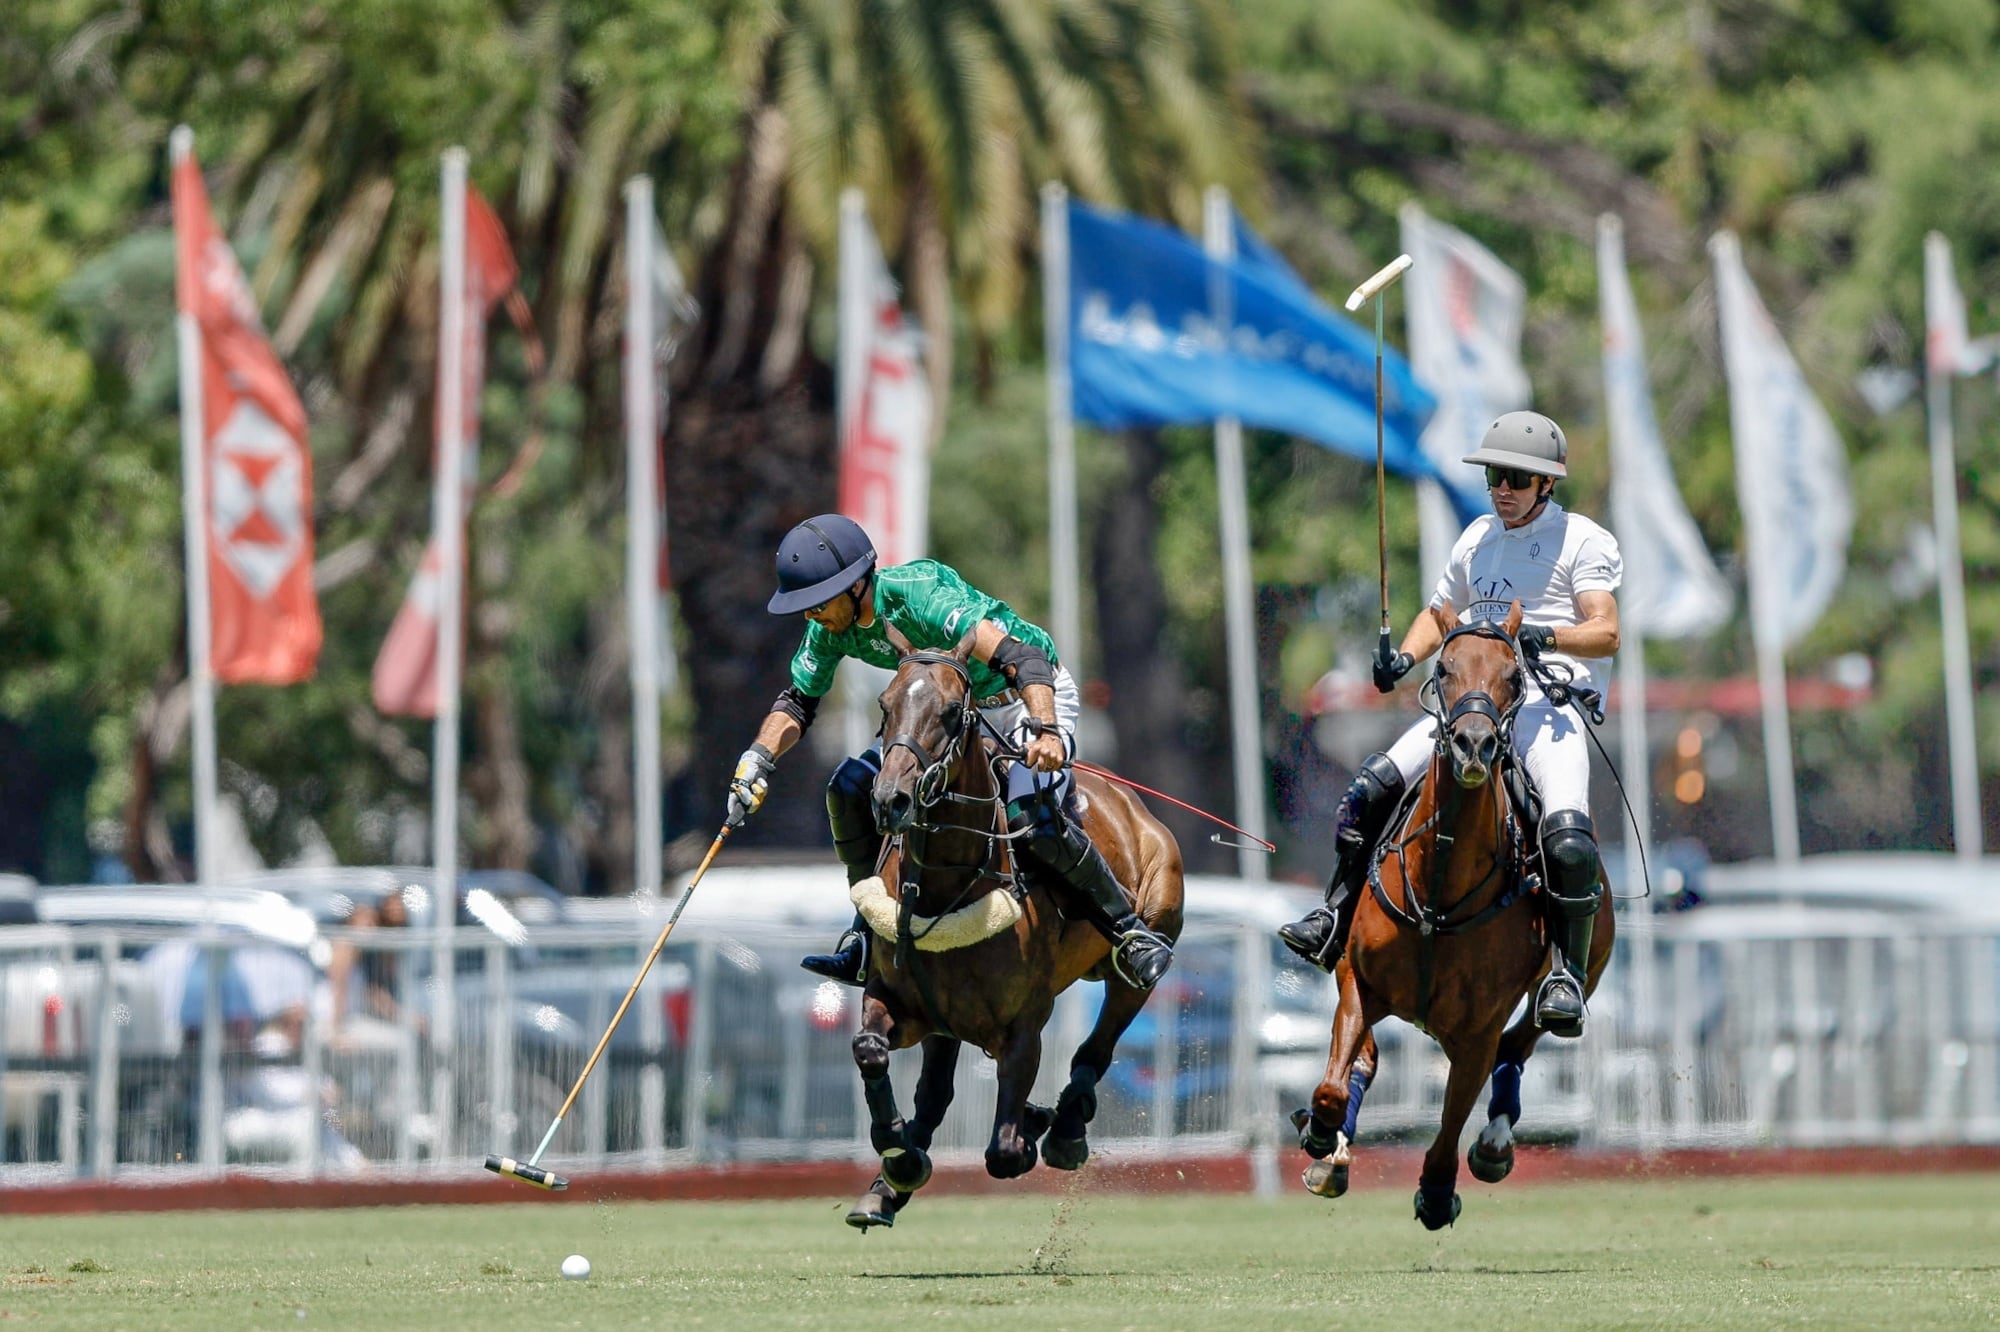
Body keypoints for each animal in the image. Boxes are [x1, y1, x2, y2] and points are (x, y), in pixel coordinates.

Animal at [848, 624, 1184, 1224]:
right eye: (884, 706)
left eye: (951, 711)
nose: (890, 800)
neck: (949, 882)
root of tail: (1135, 805)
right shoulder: (899, 1001)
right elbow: (871, 1050)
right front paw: (898, 1157)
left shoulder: (1026, 1021)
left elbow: (1004, 1153)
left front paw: (1029, 1126)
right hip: (947, 1022)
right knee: (935, 1092)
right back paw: (891, 1183)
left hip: (1143, 951)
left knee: (1097, 1045)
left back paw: (1066, 1127)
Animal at [1288, 600, 1616, 1224]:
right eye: (1442, 669)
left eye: (1514, 675)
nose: (1473, 744)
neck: (1438, 888)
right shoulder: (1357, 980)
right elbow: (1336, 1081)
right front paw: (1321, 1132)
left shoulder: (1477, 1031)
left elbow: (1451, 1117)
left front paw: (1438, 1189)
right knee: (1373, 783)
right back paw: (1333, 1152)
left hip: (1578, 973)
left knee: (1526, 1036)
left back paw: (1494, 1144)